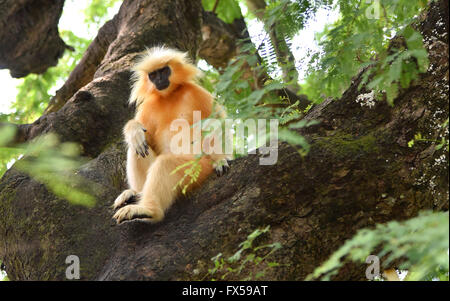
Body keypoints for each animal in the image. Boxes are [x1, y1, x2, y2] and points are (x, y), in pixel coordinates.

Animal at [112, 46, 232, 223]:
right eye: (153, 75)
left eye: (163, 71)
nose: (159, 80)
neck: (169, 95)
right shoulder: (149, 105)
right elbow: (144, 135)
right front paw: (134, 130)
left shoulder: (196, 92)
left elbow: (217, 122)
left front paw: (221, 159)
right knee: (137, 146)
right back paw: (136, 192)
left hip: (199, 168)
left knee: (166, 163)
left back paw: (147, 210)